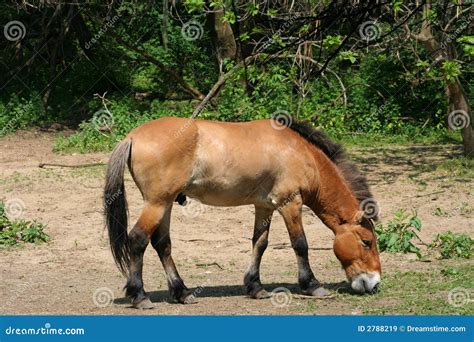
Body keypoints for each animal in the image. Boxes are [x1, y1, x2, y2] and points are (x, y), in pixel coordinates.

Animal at [103, 116, 382, 308]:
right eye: (366, 241)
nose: (374, 282)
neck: (300, 152)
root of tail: (132, 136)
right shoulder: (290, 203)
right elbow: (300, 244)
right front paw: (312, 285)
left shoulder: (264, 206)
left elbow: (260, 243)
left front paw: (255, 287)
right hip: (157, 203)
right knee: (138, 240)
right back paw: (139, 296)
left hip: (167, 204)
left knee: (162, 244)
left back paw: (182, 293)